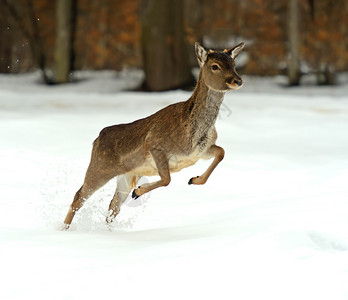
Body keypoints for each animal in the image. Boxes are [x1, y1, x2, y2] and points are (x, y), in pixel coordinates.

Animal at [64, 41, 245, 230]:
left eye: (234, 64)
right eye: (215, 66)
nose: (238, 80)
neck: (192, 130)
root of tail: (96, 139)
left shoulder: (200, 151)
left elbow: (221, 152)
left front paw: (193, 179)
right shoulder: (155, 146)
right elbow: (166, 179)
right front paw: (138, 191)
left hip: (125, 174)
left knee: (113, 205)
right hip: (100, 167)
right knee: (79, 196)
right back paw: (64, 229)